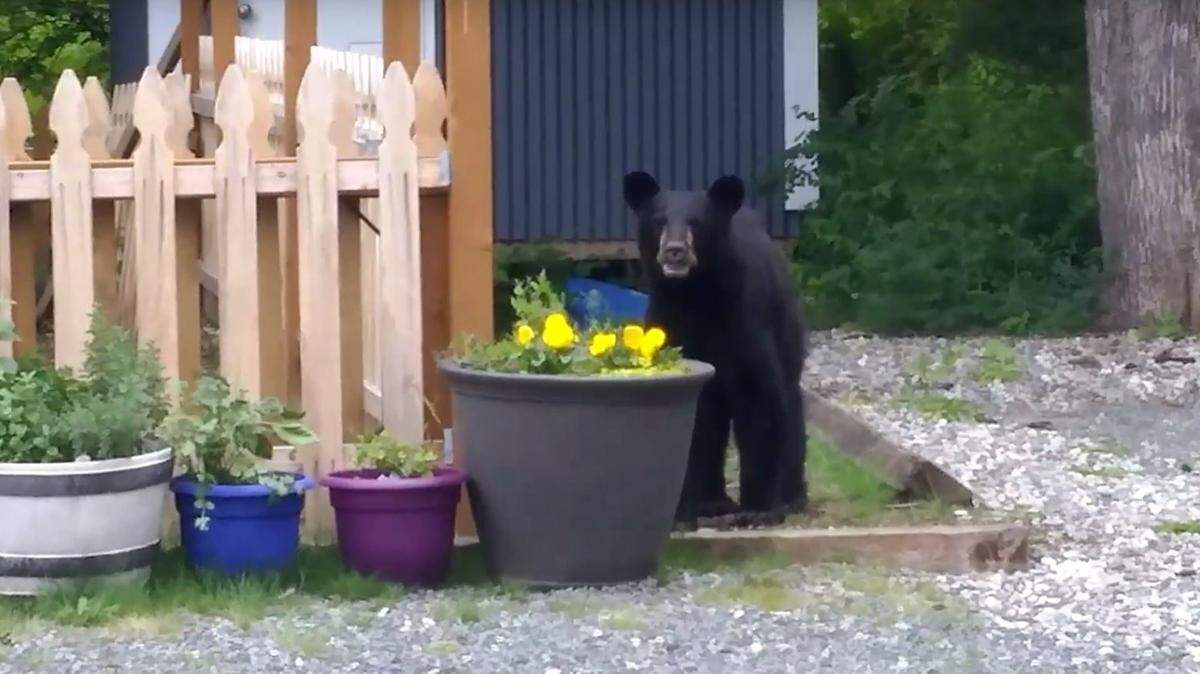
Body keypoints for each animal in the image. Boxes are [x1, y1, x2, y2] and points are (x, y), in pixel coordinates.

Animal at [623, 171, 807, 526]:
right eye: (659, 220)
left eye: (696, 222)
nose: (675, 251)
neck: (696, 296)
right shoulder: (670, 325)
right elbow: (695, 425)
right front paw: (688, 508)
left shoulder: (747, 320)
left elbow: (759, 400)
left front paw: (758, 507)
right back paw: (714, 501)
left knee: (791, 409)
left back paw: (793, 497)